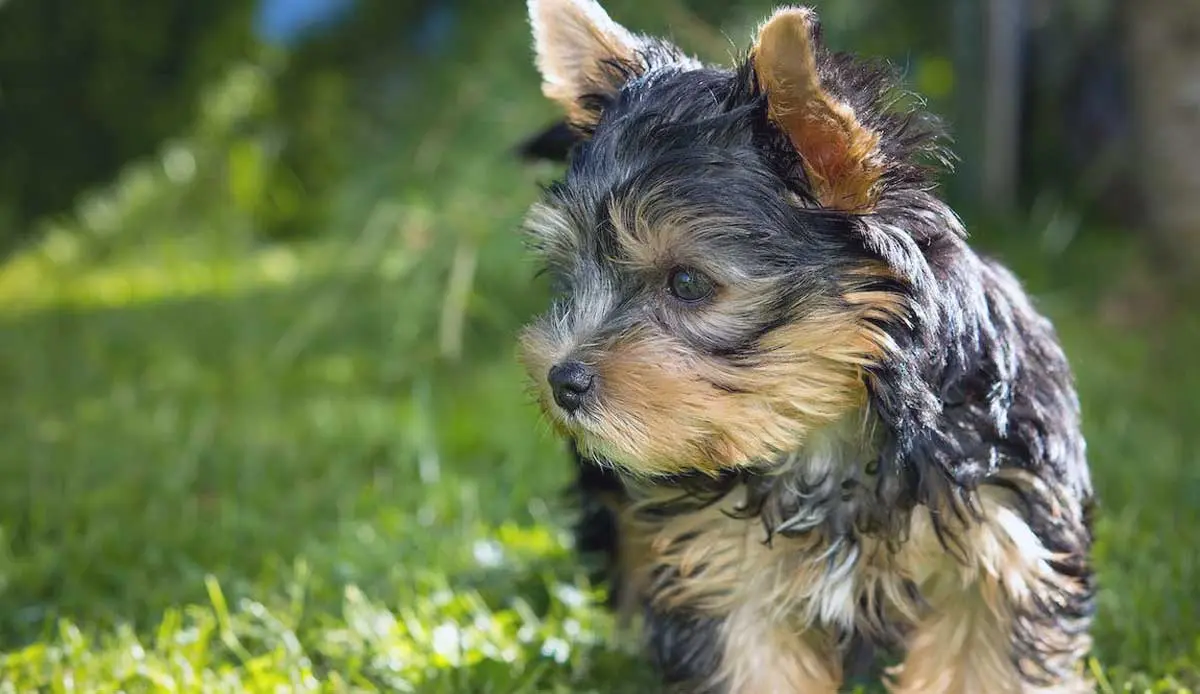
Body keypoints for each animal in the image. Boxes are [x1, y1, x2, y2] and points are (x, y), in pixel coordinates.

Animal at [511, 2, 1094, 686]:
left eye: (687, 283)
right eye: (568, 273)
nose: (562, 380)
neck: (826, 428)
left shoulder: (1003, 538)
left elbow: (982, 661)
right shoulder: (723, 565)